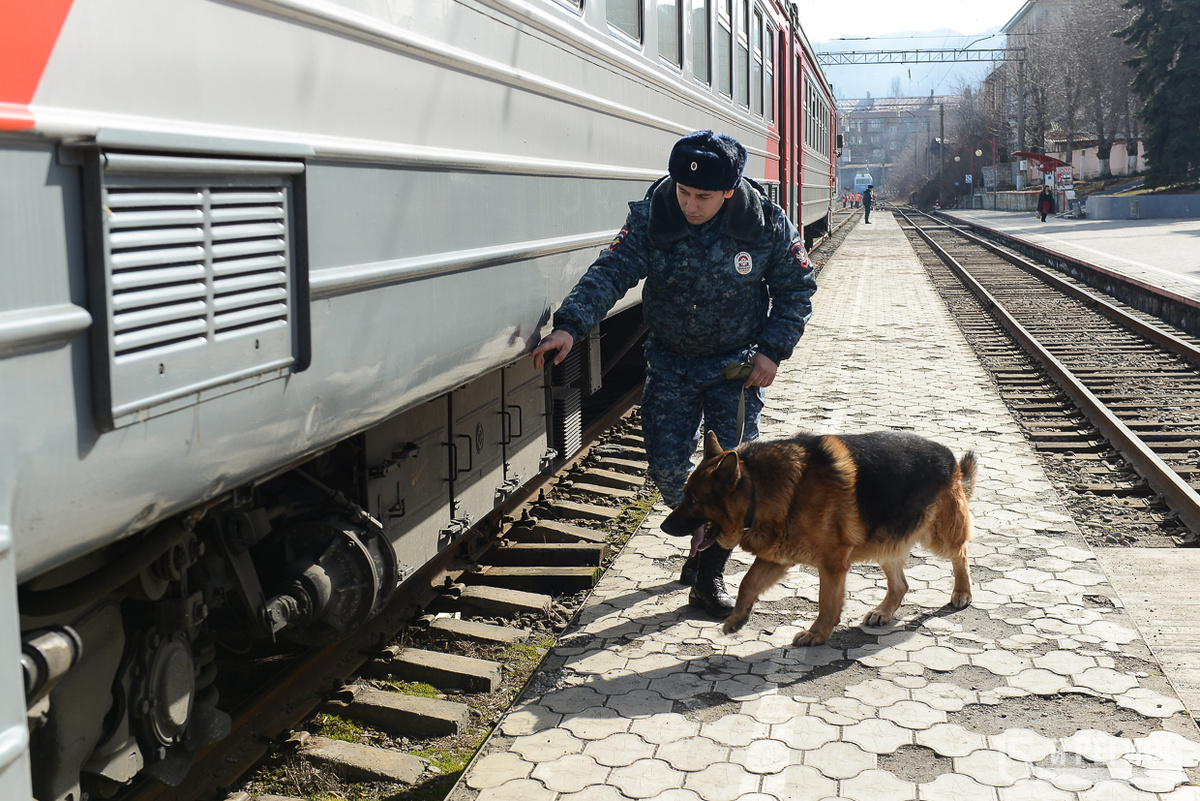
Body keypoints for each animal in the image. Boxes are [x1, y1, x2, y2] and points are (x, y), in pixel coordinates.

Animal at [662, 431, 979, 642]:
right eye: (685, 495)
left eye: (692, 501)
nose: (665, 526)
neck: (757, 491)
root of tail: (950, 459)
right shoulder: (777, 558)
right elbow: (747, 583)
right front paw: (738, 618)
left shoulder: (833, 564)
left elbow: (826, 601)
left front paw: (818, 633)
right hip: (884, 542)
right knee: (901, 585)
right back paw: (883, 611)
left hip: (937, 536)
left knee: (961, 552)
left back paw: (962, 592)